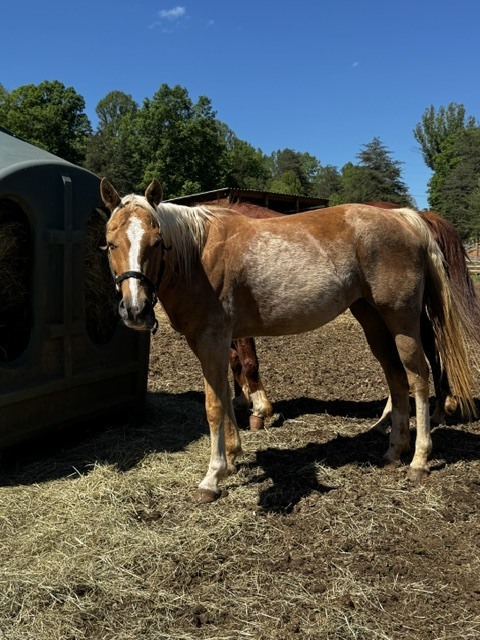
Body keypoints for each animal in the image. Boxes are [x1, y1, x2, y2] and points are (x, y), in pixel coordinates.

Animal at [100, 177, 476, 503]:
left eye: (156, 241)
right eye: (111, 243)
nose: (135, 310)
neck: (197, 254)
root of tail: (406, 217)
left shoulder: (213, 340)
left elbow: (214, 405)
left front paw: (212, 476)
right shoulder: (209, 344)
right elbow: (226, 395)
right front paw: (233, 457)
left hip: (402, 321)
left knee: (419, 377)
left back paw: (420, 459)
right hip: (373, 322)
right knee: (397, 379)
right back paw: (393, 450)